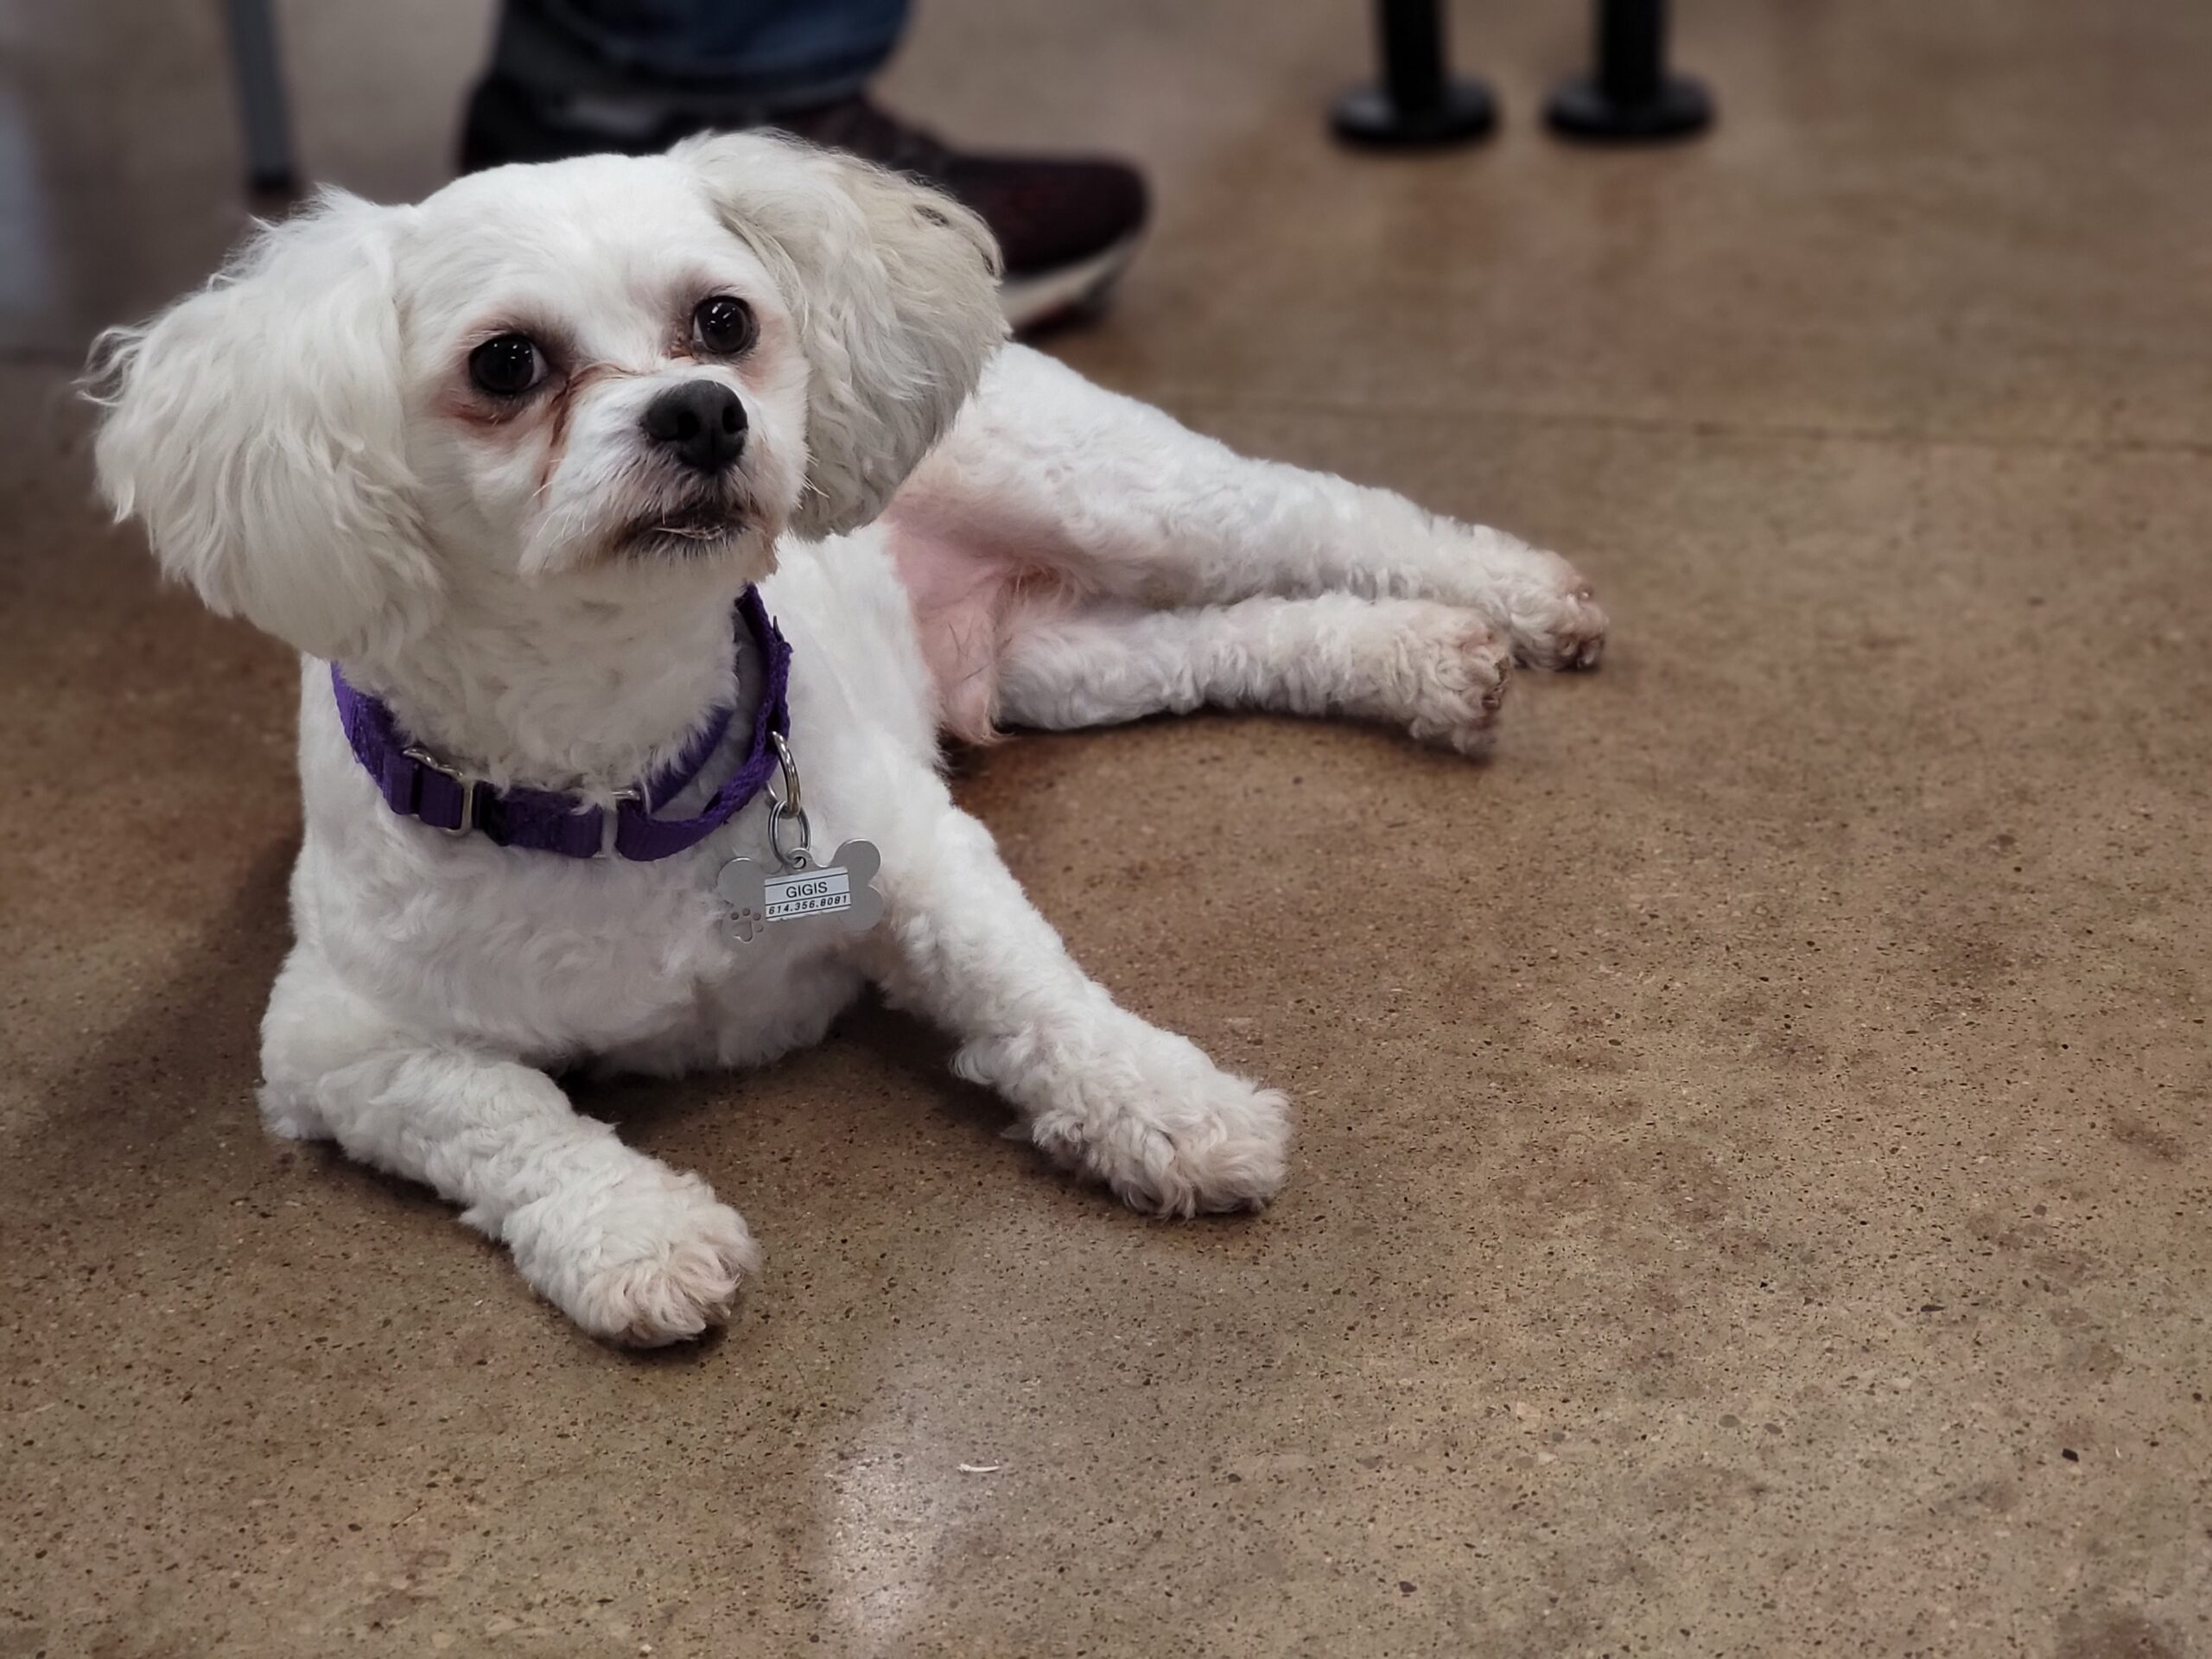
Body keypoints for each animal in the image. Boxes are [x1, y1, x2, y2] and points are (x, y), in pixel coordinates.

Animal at [88, 134, 1607, 1346]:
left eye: (721, 319)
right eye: (506, 363)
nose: (704, 411)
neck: (620, 757)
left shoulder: (923, 858)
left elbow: (1036, 994)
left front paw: (1166, 1104)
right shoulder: (335, 1042)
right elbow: (503, 1119)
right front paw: (632, 1234)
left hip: (1131, 501)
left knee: (1335, 515)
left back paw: (1515, 596)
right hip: (1068, 662)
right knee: (1242, 635)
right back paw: (1420, 662)